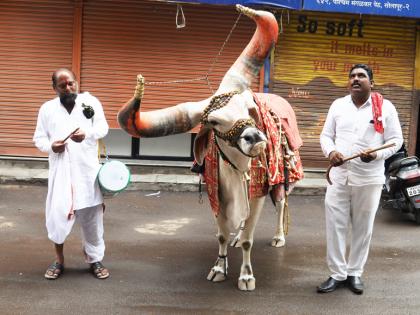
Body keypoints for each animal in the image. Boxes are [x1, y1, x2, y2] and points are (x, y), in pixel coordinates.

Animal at [116, 4, 304, 292]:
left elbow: (249, 240)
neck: (237, 170)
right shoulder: (218, 197)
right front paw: (219, 267)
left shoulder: (258, 194)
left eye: (248, 108)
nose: (256, 137)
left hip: (280, 180)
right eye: (214, 122)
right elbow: (221, 235)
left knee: (282, 204)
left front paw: (246, 276)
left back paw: (279, 237)